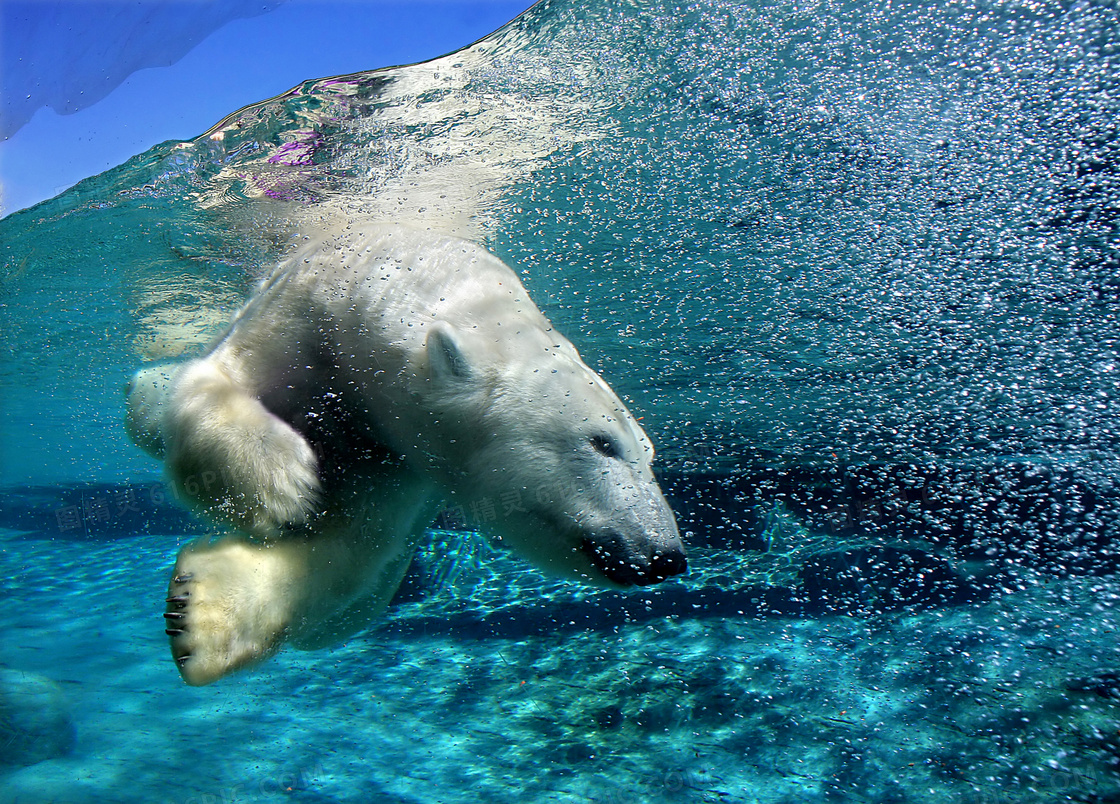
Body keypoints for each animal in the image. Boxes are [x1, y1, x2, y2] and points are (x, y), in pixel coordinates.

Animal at [122, 221, 680, 685]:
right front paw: (282, 483)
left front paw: (199, 612)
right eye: (602, 443)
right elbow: (217, 381)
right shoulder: (302, 314)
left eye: (649, 455)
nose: (666, 556)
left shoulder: (403, 459)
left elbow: (354, 546)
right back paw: (144, 390)